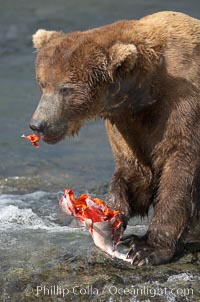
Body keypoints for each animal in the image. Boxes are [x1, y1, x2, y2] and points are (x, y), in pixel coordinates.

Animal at [29, 11, 200, 264]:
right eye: (42, 83)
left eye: (66, 88)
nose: (38, 124)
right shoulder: (125, 123)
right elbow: (134, 171)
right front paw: (111, 214)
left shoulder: (184, 104)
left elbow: (180, 170)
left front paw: (146, 248)